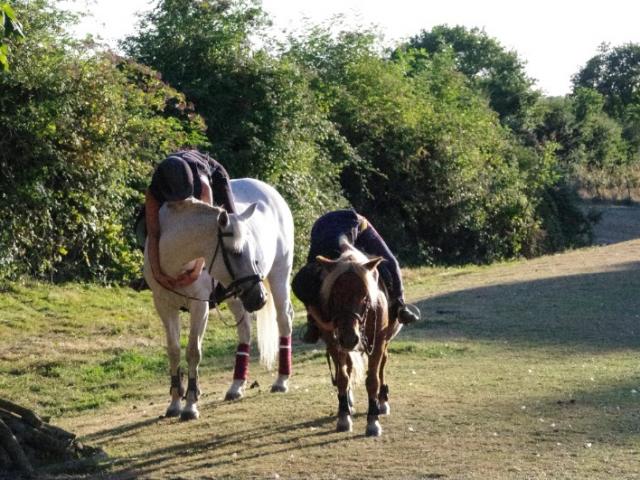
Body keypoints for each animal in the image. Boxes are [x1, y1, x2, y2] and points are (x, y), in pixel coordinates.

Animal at [143, 177, 296, 420]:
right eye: (235, 252)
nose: (259, 298)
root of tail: (271, 191)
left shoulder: (200, 307)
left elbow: (193, 351)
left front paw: (190, 404)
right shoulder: (164, 306)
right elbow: (174, 351)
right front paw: (175, 403)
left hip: (279, 275)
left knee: (284, 320)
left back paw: (281, 380)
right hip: (237, 295)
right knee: (245, 330)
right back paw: (236, 385)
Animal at [314, 239, 400, 436]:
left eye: (365, 295)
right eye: (335, 294)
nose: (349, 338)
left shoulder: (378, 342)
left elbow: (373, 380)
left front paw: (373, 421)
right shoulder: (334, 342)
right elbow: (342, 377)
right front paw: (343, 416)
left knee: (382, 365)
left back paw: (382, 401)